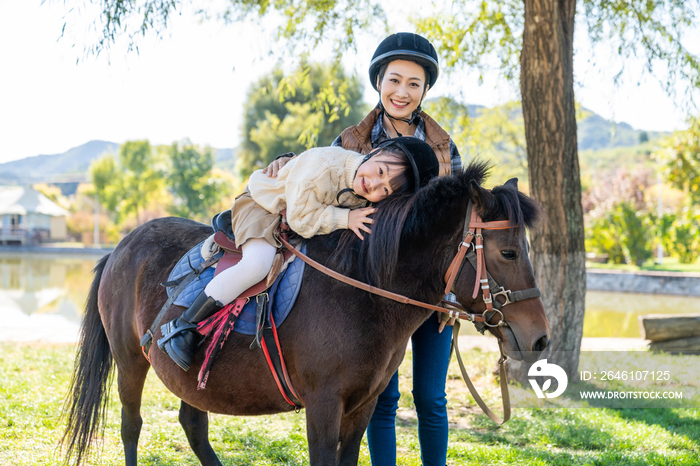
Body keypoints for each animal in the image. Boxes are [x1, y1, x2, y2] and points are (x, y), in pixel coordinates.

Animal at [61, 161, 548, 466]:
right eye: (508, 252)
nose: (540, 337)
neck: (360, 288)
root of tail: (121, 246)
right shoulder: (323, 405)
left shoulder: (362, 407)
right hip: (130, 361)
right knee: (131, 427)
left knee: (194, 425)